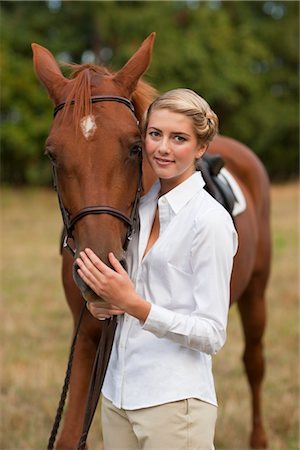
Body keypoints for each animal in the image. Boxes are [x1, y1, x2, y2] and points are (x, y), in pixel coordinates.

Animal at [31, 33, 270, 448]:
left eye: (134, 147)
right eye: (52, 155)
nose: (99, 268)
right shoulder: (88, 333)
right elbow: (71, 434)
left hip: (256, 292)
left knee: (254, 363)